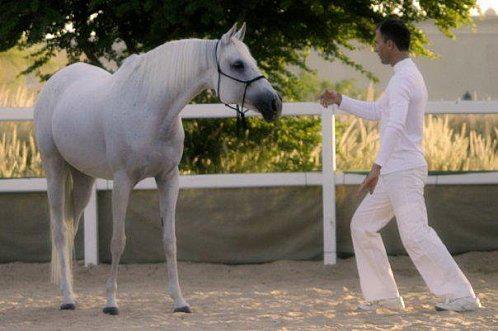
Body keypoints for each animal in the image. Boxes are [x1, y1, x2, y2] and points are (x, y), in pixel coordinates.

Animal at [34, 24, 284, 316]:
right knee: (60, 232)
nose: (275, 103)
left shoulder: (168, 179)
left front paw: (179, 301)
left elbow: (169, 241)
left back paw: (72, 292)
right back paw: (66, 298)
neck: (150, 108)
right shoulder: (122, 182)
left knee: (70, 230)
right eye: (237, 64)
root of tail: (56, 81)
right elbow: (117, 241)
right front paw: (111, 303)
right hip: (54, 167)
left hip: (84, 179)